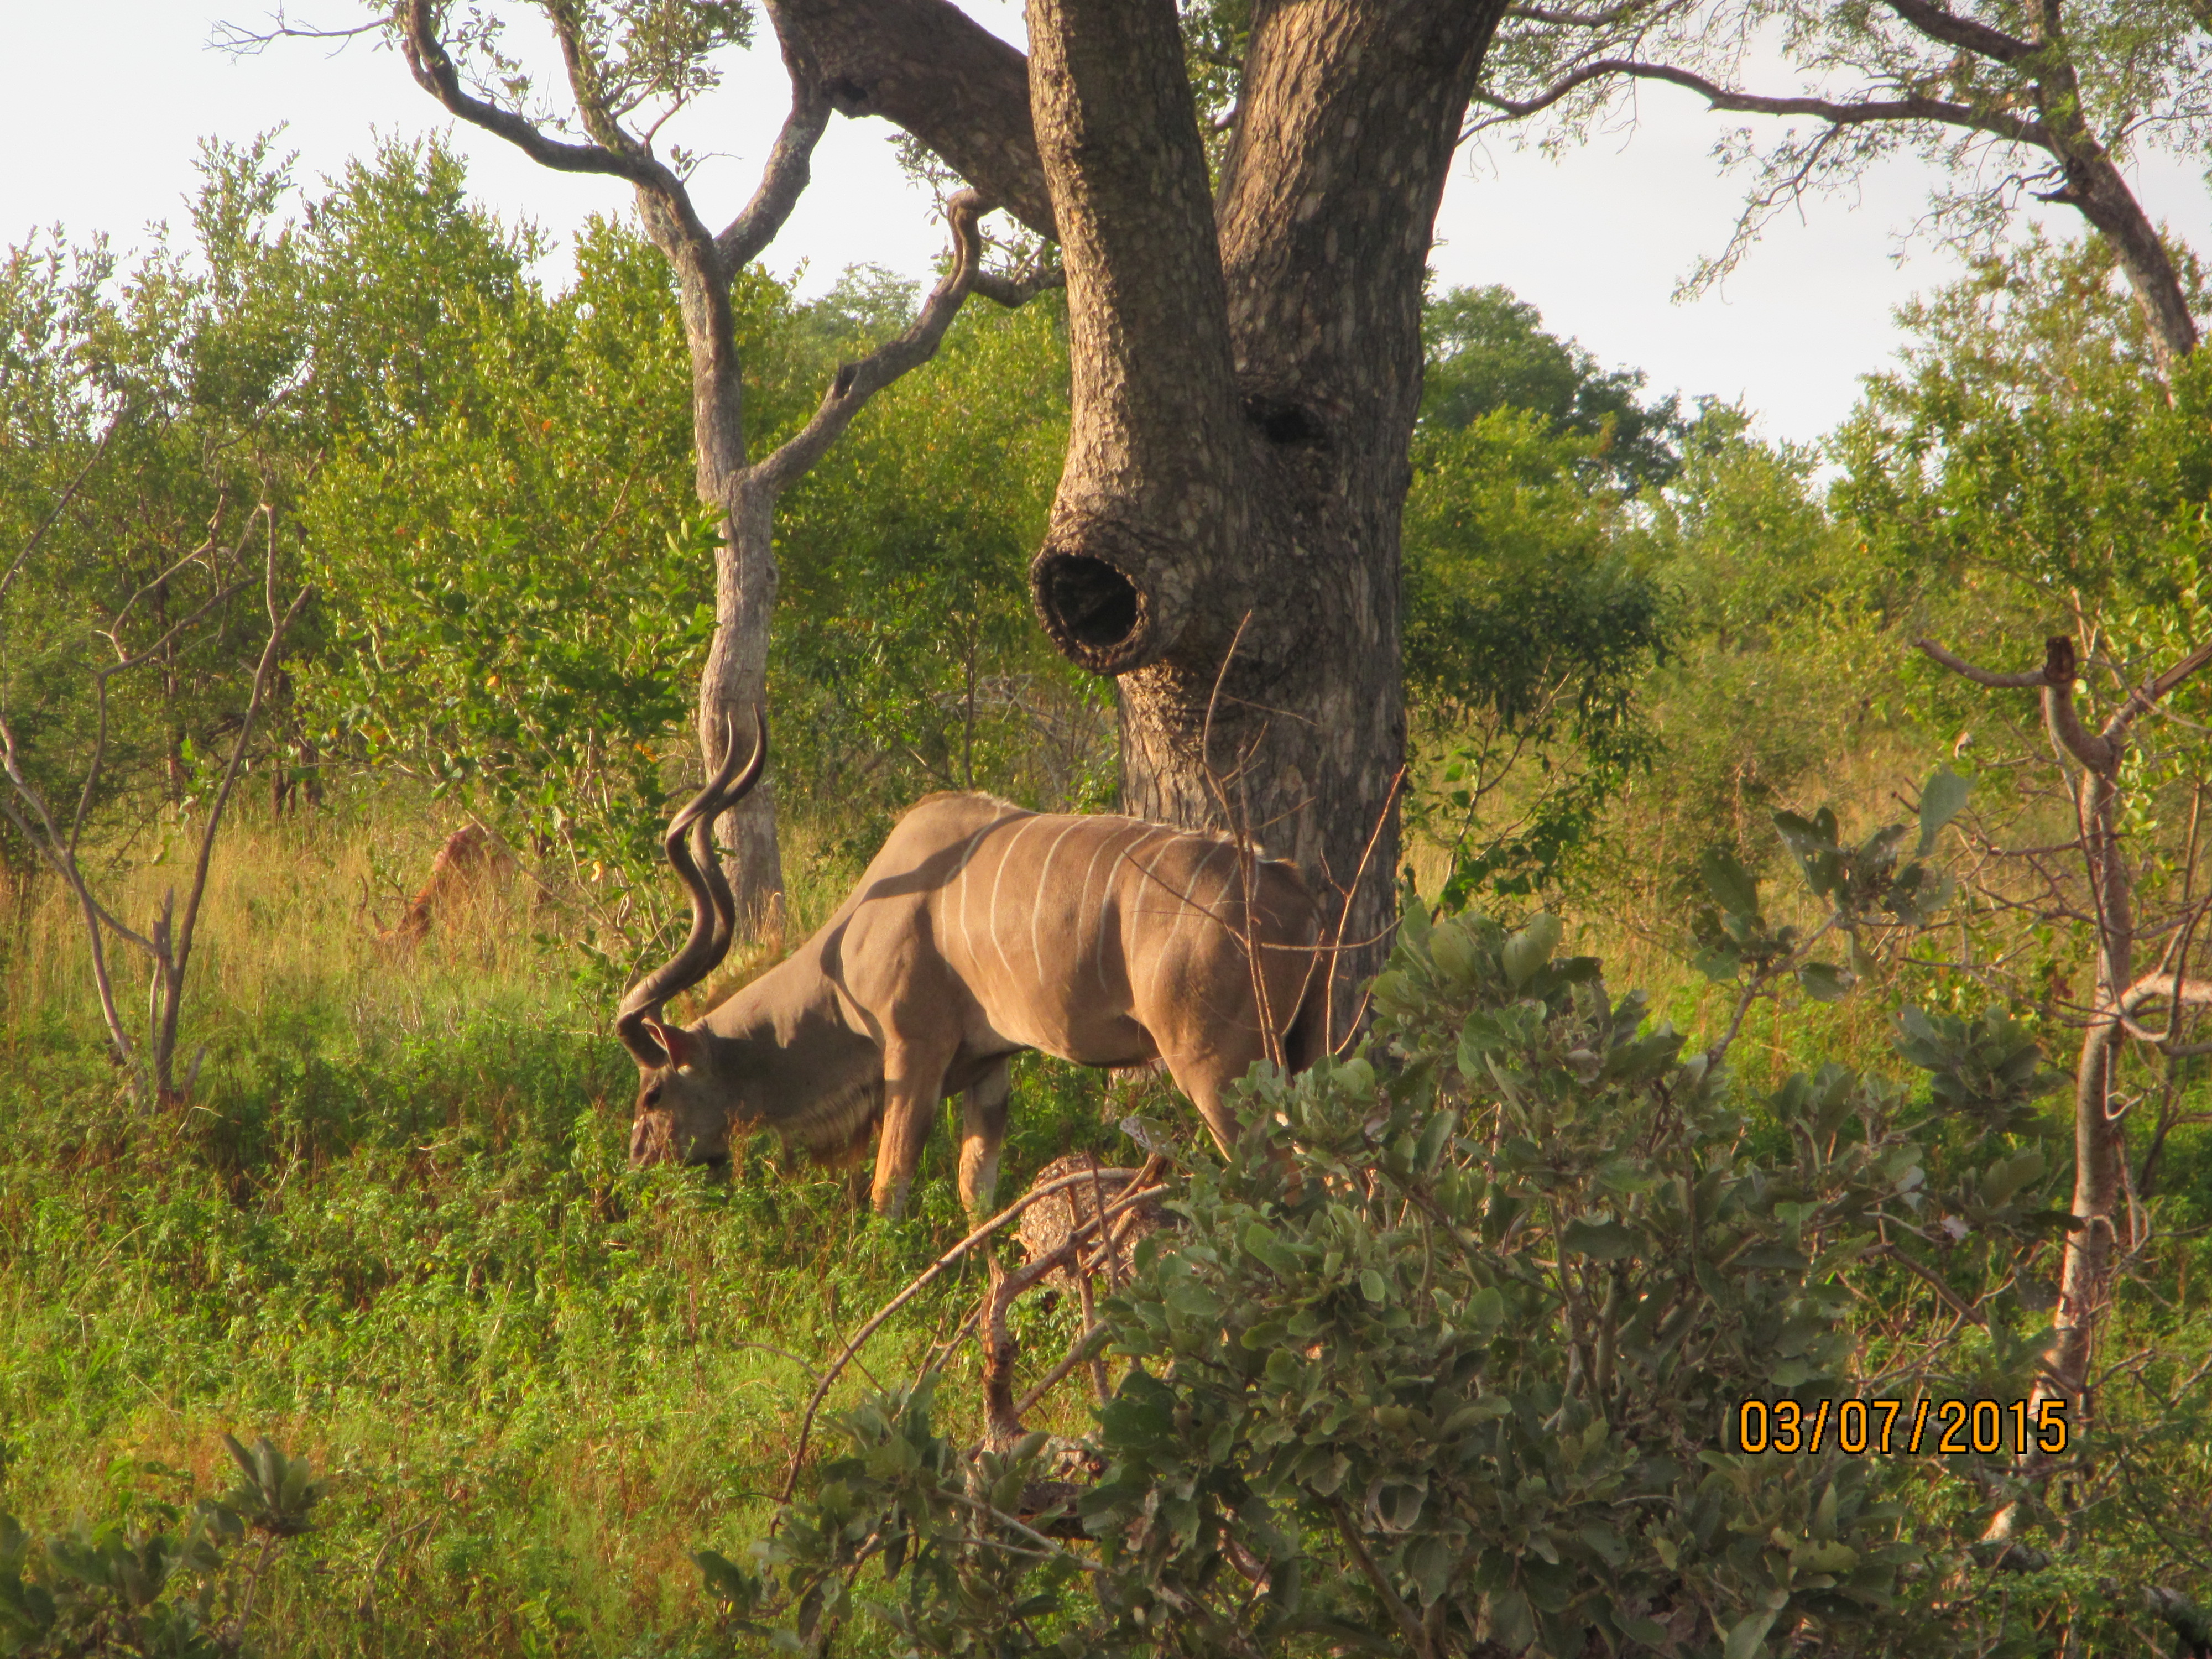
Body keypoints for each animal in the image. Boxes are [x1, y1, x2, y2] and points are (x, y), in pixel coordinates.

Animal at [617, 715, 1326, 1217]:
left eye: (653, 1093)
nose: (637, 1169)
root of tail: (1292, 890)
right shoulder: (992, 1066)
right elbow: (976, 1195)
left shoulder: (913, 1054)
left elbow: (889, 1190)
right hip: (1303, 1058)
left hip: (1217, 1071)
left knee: (1283, 1185)